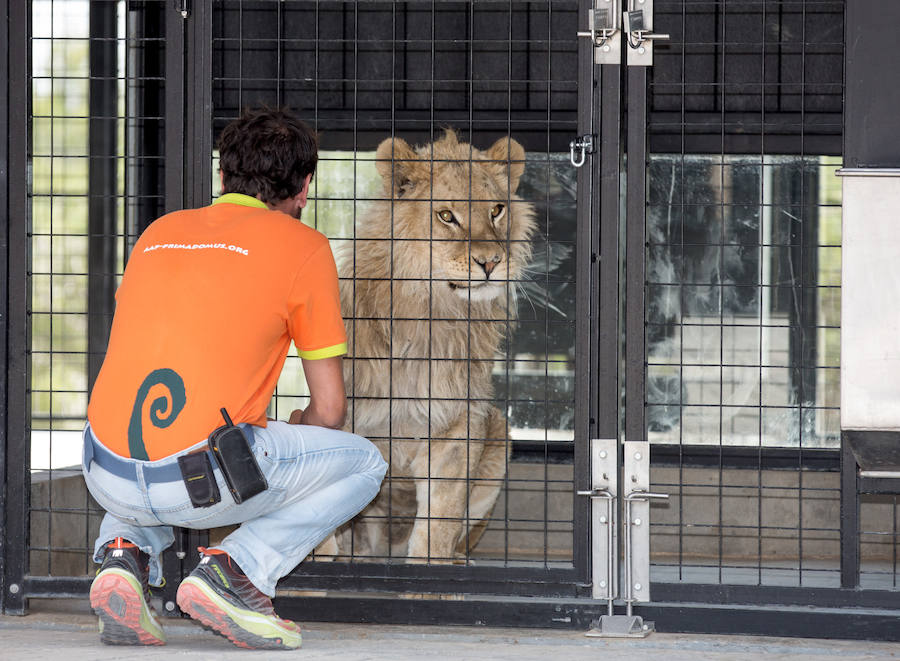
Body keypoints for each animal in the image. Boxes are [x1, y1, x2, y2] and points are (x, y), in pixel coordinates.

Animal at [328, 130, 536, 564]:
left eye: (497, 210)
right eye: (446, 216)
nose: (491, 262)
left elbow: (439, 525)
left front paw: (432, 568)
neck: (433, 312)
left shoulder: (456, 428)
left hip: (498, 432)